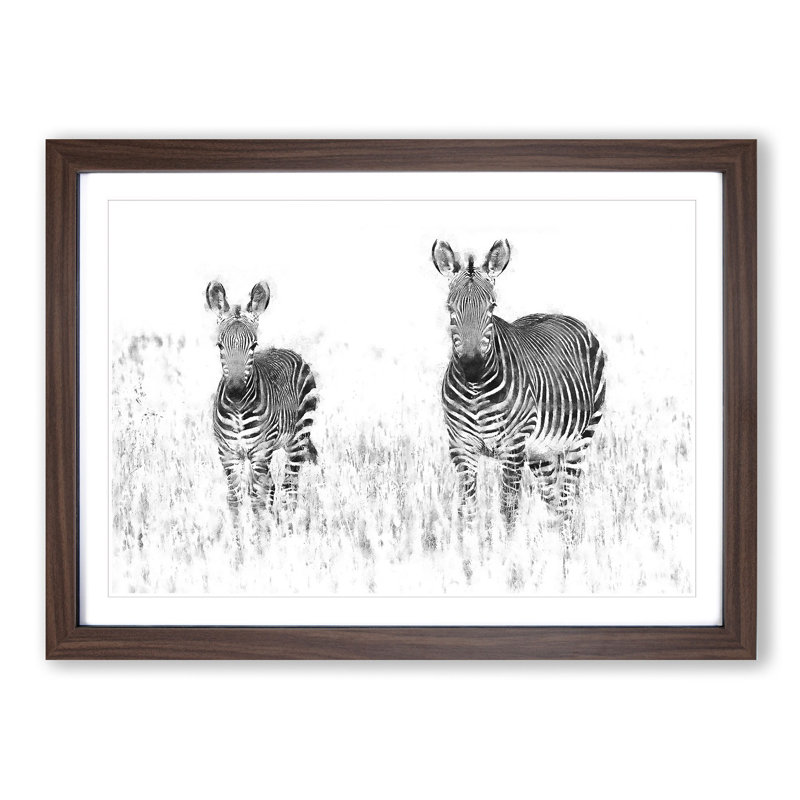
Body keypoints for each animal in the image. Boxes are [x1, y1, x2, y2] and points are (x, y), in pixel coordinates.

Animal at [205, 279, 318, 518]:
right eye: (220, 345)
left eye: (253, 345)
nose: (235, 392)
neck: (238, 410)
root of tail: (283, 349)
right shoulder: (228, 453)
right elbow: (235, 500)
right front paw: (239, 531)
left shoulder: (260, 452)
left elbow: (257, 501)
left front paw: (261, 530)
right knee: (274, 487)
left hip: (297, 440)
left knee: (289, 488)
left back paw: (288, 525)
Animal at [432, 239, 606, 539]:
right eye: (449, 307)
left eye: (492, 306)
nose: (472, 366)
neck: (476, 390)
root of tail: (560, 314)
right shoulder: (460, 446)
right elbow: (468, 510)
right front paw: (468, 549)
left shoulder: (513, 446)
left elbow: (508, 508)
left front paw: (506, 551)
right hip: (541, 453)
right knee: (553, 500)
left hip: (580, 439)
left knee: (567, 500)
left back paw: (566, 545)